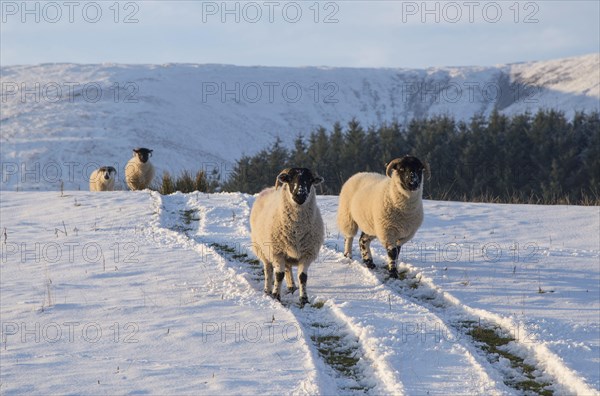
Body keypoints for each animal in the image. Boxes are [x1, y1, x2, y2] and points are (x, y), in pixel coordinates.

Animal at [248, 167, 324, 306]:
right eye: (290, 179)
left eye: (310, 180)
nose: (300, 195)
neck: (297, 230)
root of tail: (267, 189)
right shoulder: (277, 252)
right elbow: (279, 275)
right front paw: (276, 296)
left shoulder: (307, 254)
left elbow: (303, 277)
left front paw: (304, 299)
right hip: (262, 249)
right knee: (268, 269)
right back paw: (267, 290)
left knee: (288, 268)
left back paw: (291, 286)